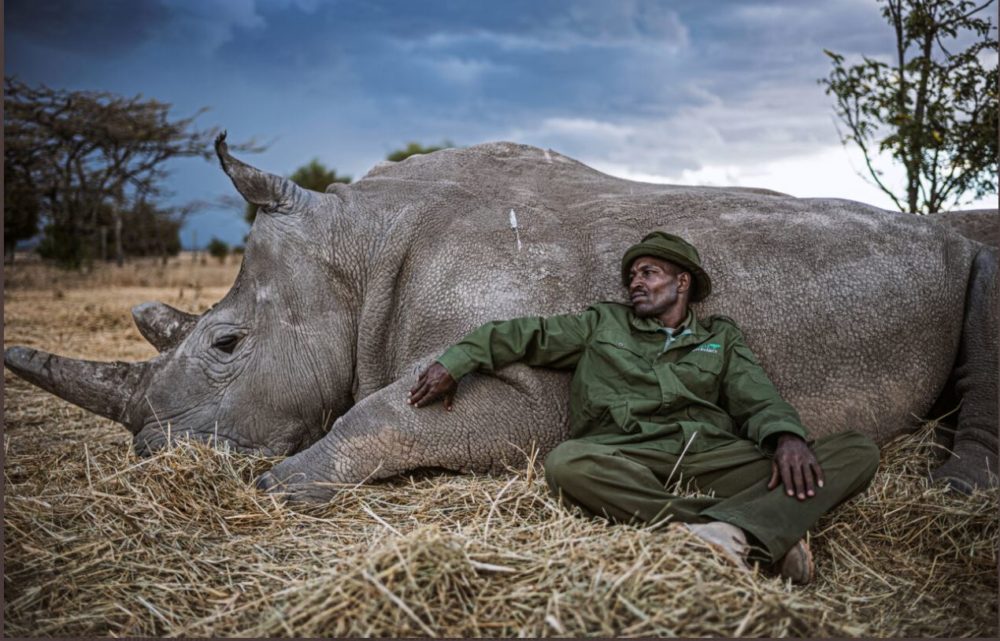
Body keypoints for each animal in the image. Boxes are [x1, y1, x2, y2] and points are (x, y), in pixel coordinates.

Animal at [5, 134, 997, 501]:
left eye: (225, 343)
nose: (150, 457)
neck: (358, 248)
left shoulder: (535, 393)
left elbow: (380, 415)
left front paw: (283, 486)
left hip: (977, 246)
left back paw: (955, 494)